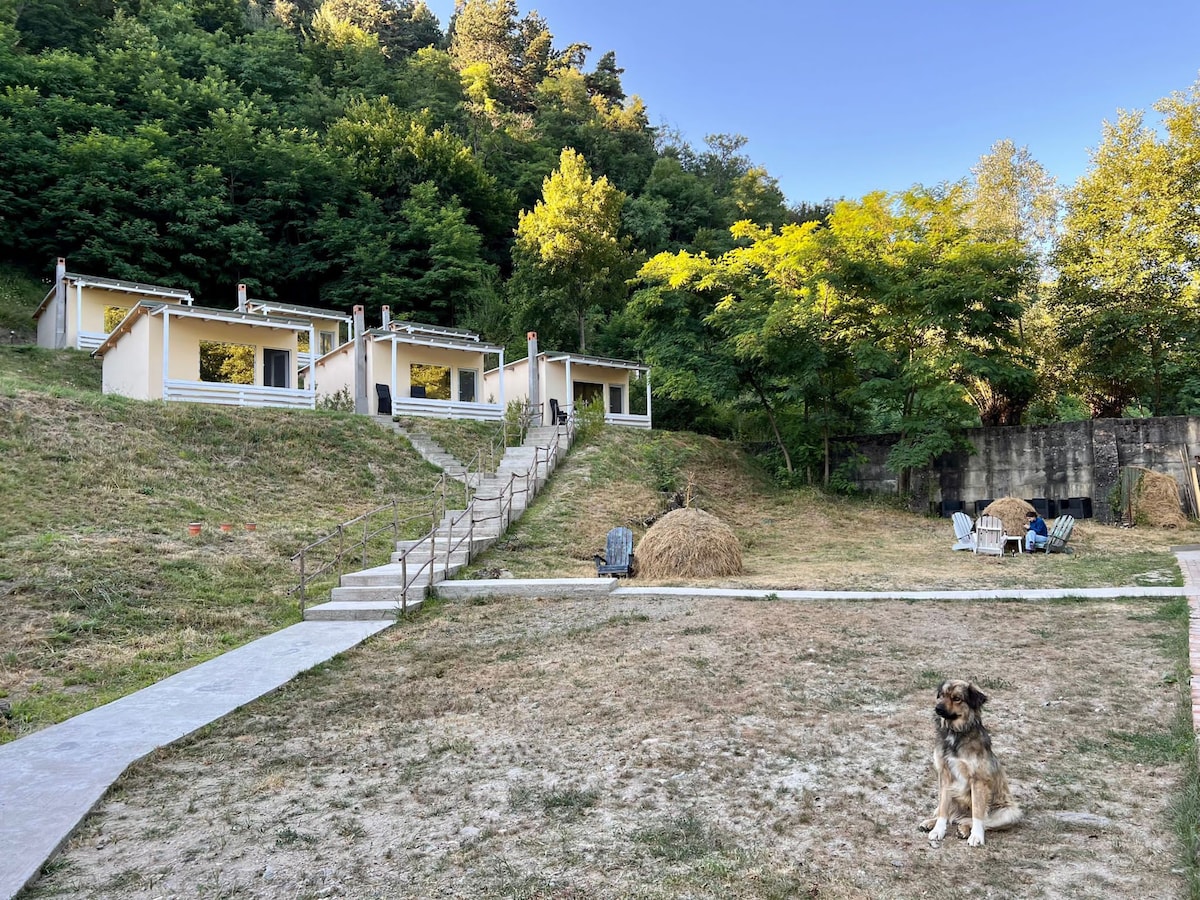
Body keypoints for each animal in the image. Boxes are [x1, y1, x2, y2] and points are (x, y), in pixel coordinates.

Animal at [916, 681, 1022, 849]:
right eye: (942, 695)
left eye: (957, 698)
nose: (937, 708)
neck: (956, 733)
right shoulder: (944, 774)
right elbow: (943, 809)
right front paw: (938, 830)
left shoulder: (978, 779)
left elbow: (978, 814)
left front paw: (976, 836)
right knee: (949, 815)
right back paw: (930, 823)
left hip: (1009, 813)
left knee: (977, 821)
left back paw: (964, 829)